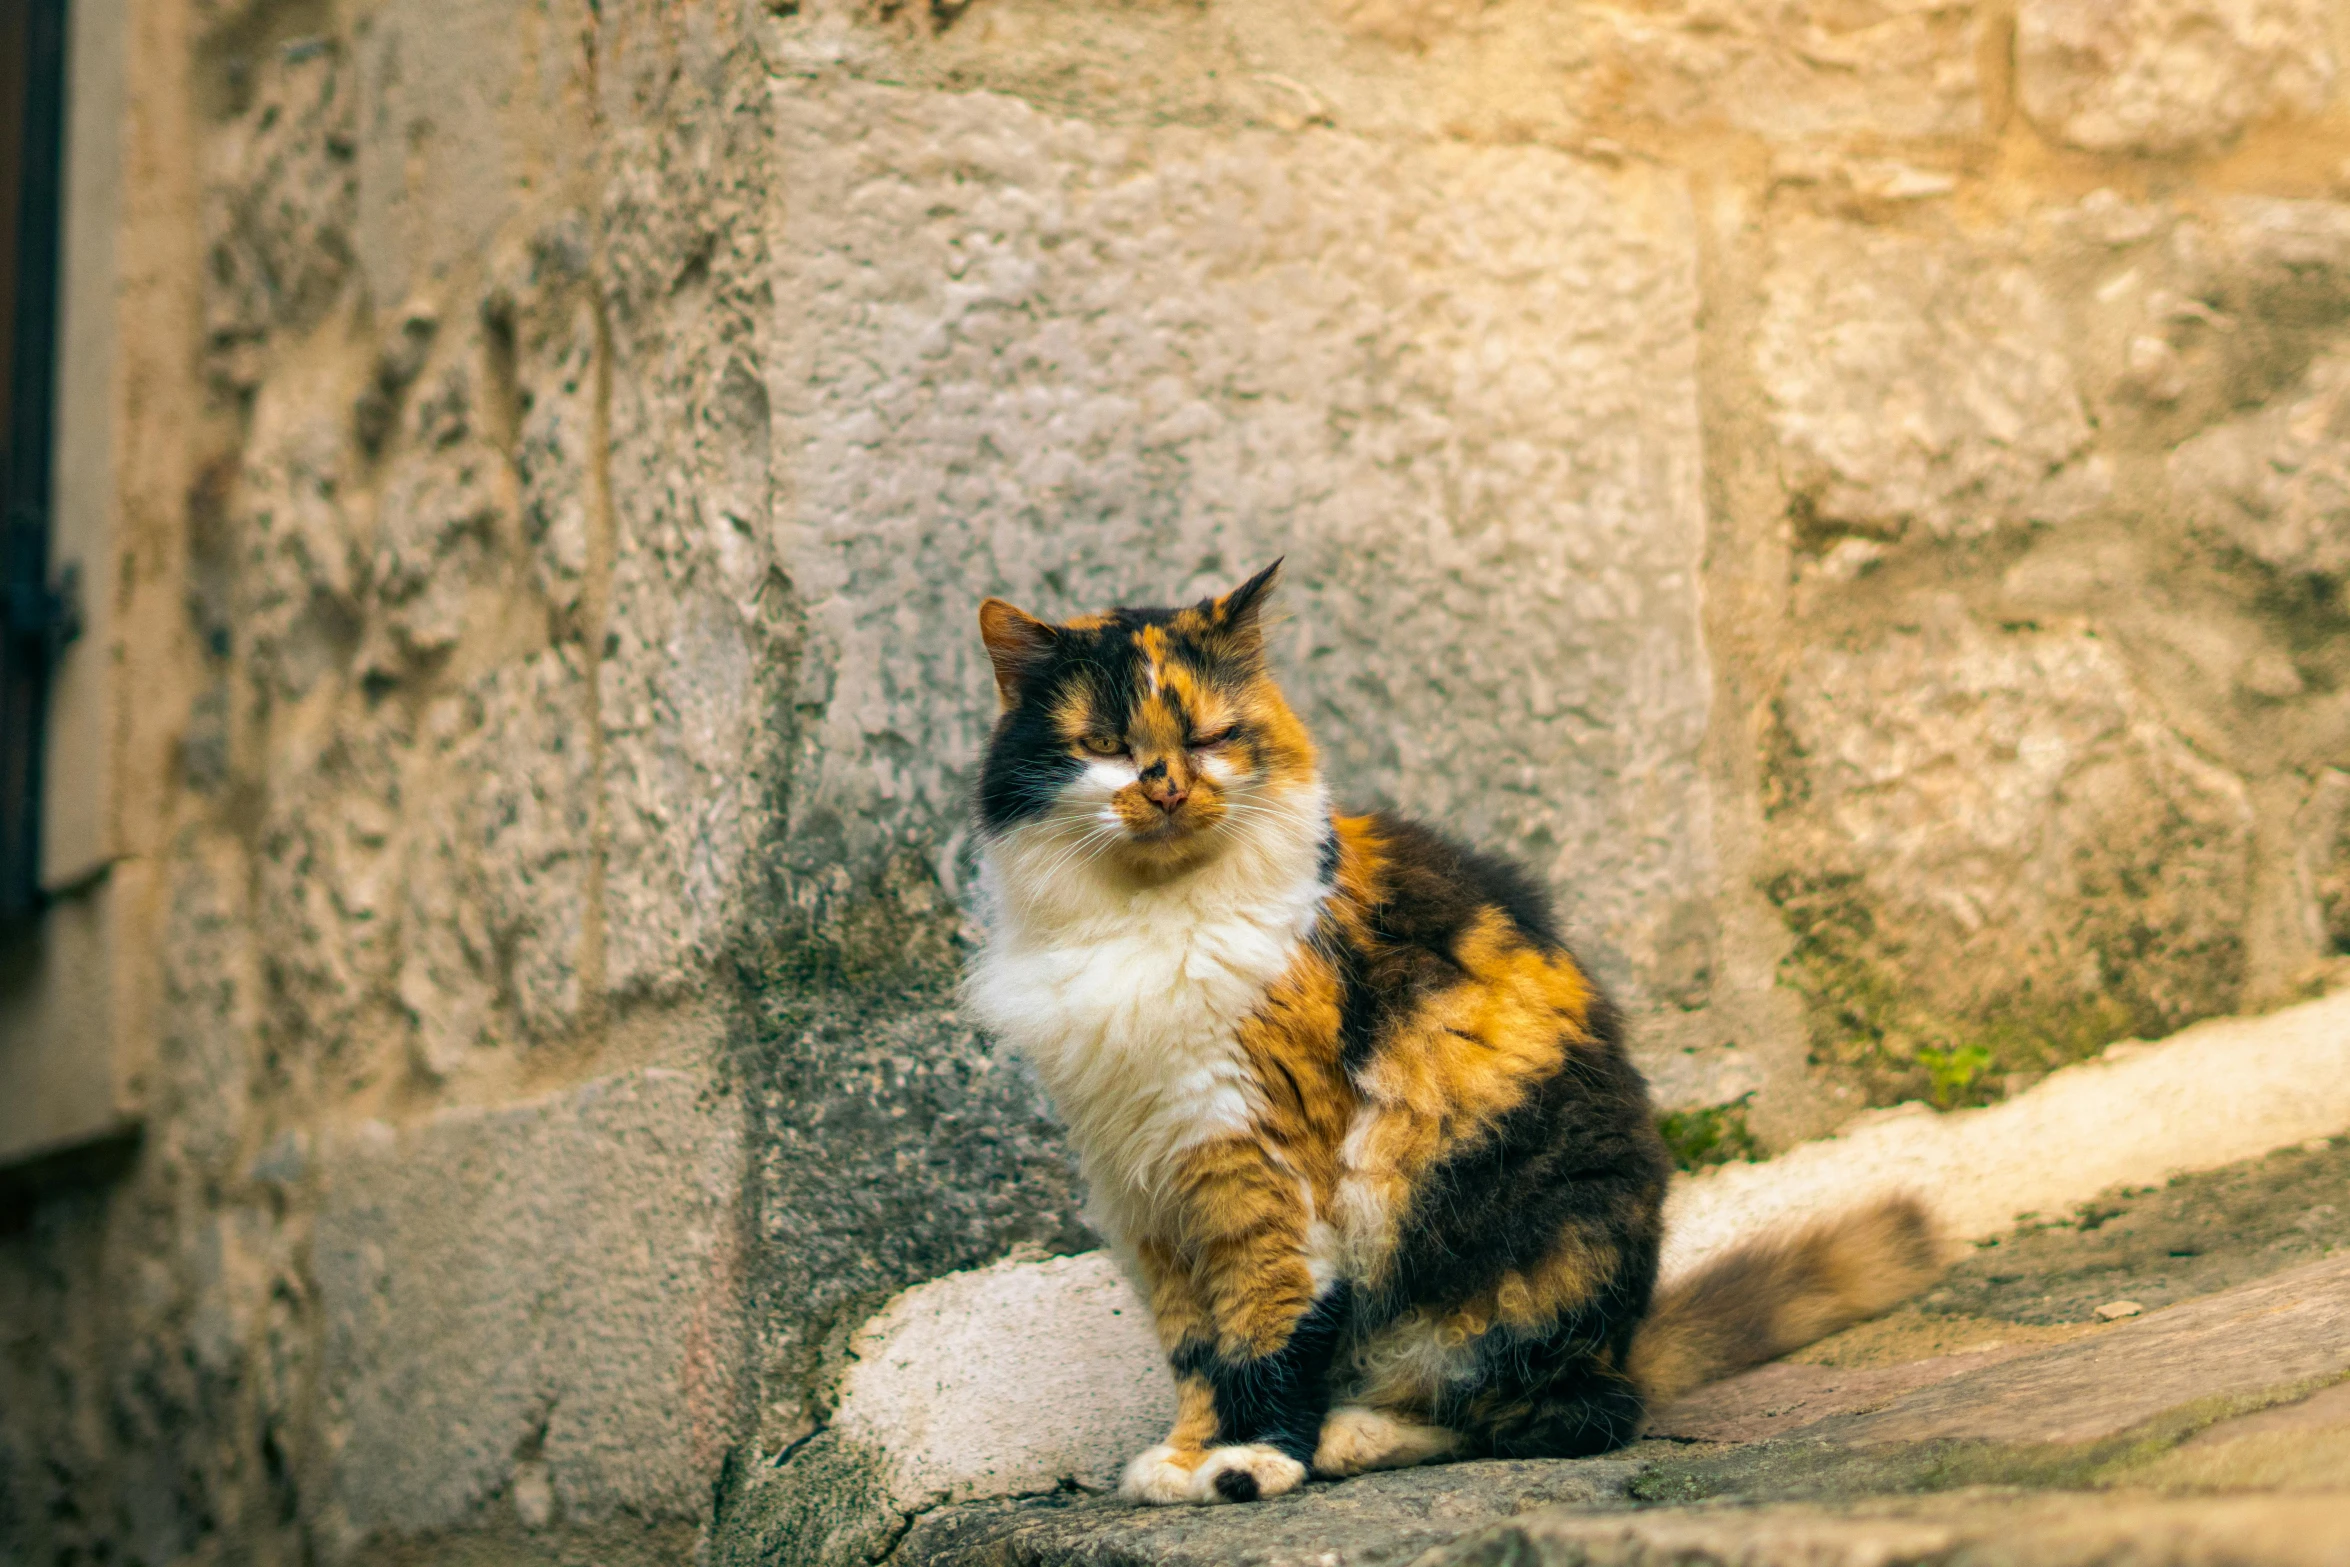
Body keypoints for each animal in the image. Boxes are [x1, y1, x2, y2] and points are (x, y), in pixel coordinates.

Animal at [963, 566, 1936, 1503]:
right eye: (1105, 747)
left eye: (1211, 736)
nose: (1167, 785)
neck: (1147, 917)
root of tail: (1626, 1343)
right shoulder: (1149, 1186)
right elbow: (1196, 1346)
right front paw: (1185, 1456)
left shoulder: (1260, 1165)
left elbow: (1264, 1325)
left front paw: (1248, 1460)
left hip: (1508, 1259)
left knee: (1565, 1417)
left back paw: (1350, 1435)